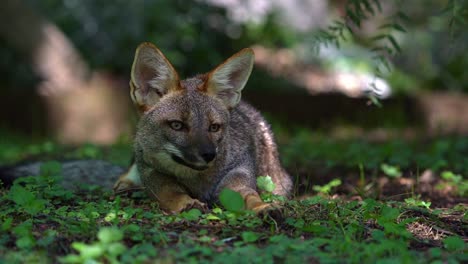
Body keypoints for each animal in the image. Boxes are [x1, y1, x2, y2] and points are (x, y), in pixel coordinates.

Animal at [113, 42, 290, 212]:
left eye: (214, 127)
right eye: (177, 125)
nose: (209, 155)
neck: (198, 184)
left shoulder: (239, 172)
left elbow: (248, 195)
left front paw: (262, 207)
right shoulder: (152, 173)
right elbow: (171, 193)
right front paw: (187, 203)